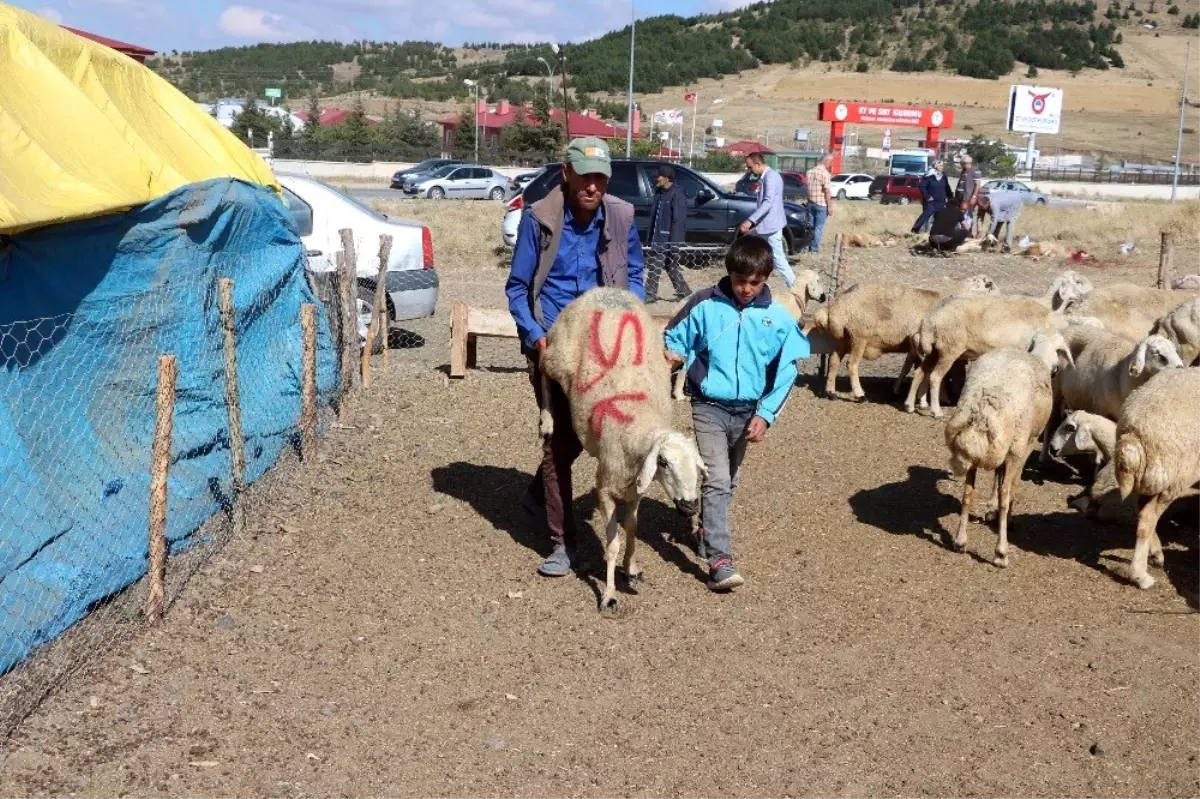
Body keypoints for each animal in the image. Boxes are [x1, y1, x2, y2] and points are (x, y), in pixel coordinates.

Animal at [537, 286, 700, 609]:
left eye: (696, 466)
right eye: (664, 462)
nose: (689, 507)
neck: (638, 427)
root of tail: (600, 289)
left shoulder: (635, 489)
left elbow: (633, 528)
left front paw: (631, 568)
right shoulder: (605, 490)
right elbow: (612, 542)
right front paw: (609, 595)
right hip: (558, 354)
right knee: (543, 365)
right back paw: (547, 419)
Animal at [811, 272, 998, 398]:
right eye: (991, 286)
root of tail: (837, 307)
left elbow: (910, 367)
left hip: (844, 339)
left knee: (833, 361)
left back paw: (830, 392)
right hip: (860, 335)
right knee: (851, 364)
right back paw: (859, 394)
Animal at [902, 292, 1065, 417]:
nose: (1056, 371)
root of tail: (929, 320)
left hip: (933, 351)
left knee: (920, 373)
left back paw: (910, 406)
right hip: (949, 349)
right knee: (935, 377)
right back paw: (936, 411)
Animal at [940, 328, 1075, 566]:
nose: (1056, 372)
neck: (1039, 357)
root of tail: (981, 409)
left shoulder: (1003, 446)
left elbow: (997, 474)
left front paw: (990, 510)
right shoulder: (1024, 445)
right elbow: (1012, 484)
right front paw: (1004, 515)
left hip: (975, 452)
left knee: (968, 493)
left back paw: (960, 541)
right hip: (1015, 446)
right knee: (1005, 493)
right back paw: (1001, 552)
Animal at [1108, 367, 1200, 585]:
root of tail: (1131, 432)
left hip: (1155, 474)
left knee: (1142, 510)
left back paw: (1155, 553)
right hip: (1173, 478)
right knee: (1147, 519)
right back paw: (1140, 576)